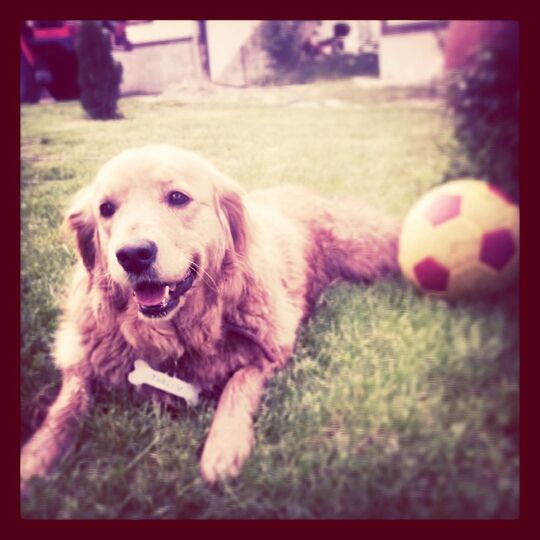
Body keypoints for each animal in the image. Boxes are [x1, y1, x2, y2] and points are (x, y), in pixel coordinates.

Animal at [20, 143, 400, 490]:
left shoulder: (272, 346)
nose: (132, 254)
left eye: (177, 197)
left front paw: (224, 447)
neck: (175, 336)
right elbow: (67, 405)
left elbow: (238, 384)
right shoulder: (82, 354)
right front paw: (35, 456)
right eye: (106, 209)